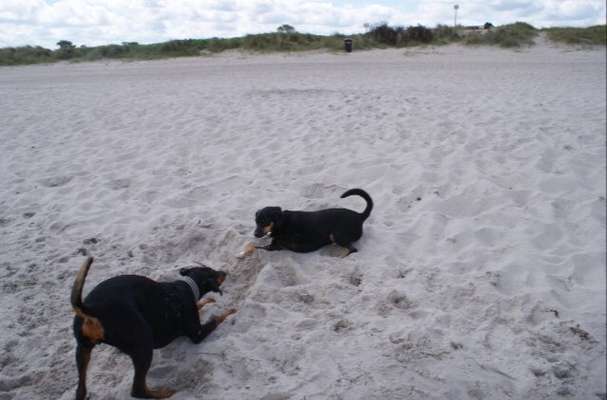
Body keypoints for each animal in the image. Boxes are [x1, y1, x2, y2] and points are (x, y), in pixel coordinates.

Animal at [69, 258, 235, 398]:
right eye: (214, 273)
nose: (224, 272)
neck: (187, 286)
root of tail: (91, 310)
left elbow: (201, 304)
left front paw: (208, 300)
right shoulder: (197, 333)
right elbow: (216, 319)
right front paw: (231, 311)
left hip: (83, 349)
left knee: (80, 390)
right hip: (143, 343)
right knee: (137, 389)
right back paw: (163, 393)